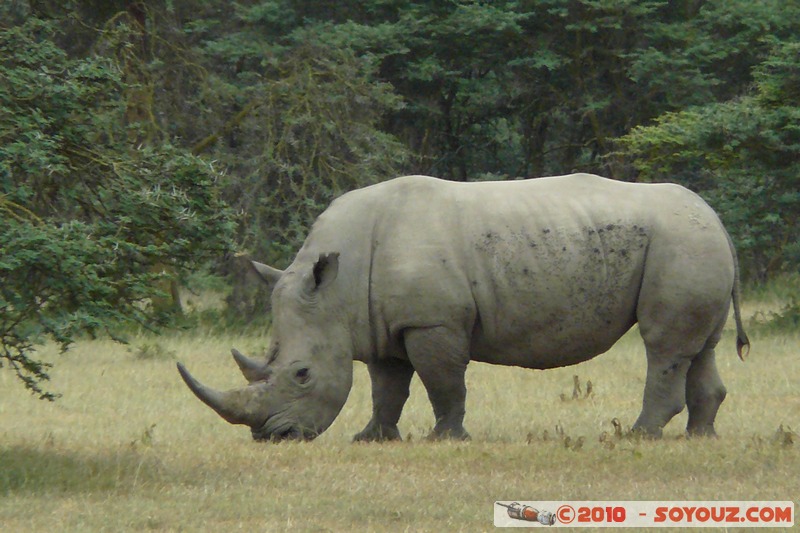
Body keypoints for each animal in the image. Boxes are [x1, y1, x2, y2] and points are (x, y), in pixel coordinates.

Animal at [177, 174, 749, 442]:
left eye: (301, 374)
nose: (273, 437)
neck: (338, 287)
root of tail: (717, 217)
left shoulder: (433, 321)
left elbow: (443, 383)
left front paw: (444, 438)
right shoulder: (382, 324)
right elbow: (388, 387)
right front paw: (372, 438)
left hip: (682, 243)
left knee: (663, 346)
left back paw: (639, 434)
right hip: (692, 243)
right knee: (701, 346)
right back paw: (701, 436)